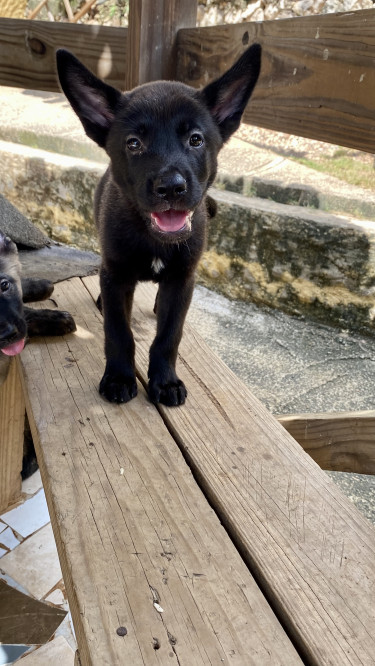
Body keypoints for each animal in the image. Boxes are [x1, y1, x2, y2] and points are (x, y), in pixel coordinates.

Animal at [56, 44, 262, 404]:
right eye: (133, 143)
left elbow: (169, 335)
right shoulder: (116, 275)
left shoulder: (182, 280)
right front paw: (119, 377)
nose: (171, 187)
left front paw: (165, 381)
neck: (153, 238)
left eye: (196, 139)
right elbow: (118, 331)